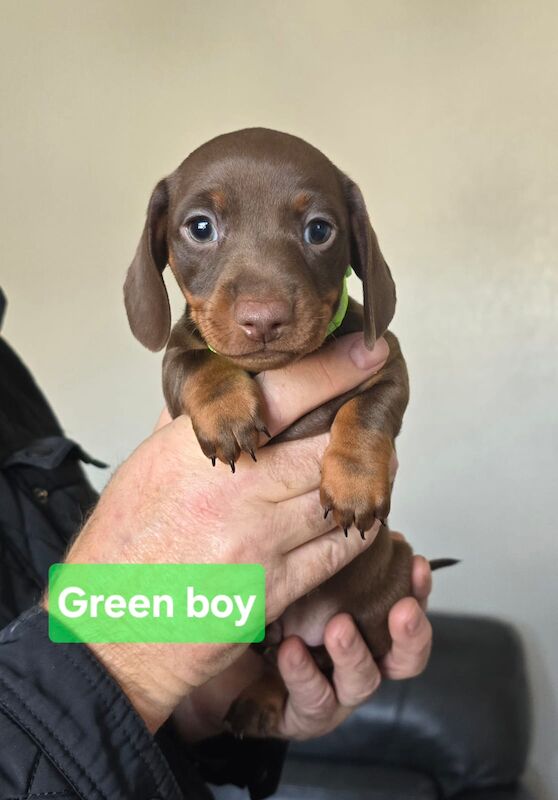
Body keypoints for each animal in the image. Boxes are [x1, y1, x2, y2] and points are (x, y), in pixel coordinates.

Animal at [124, 126, 434, 736]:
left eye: (319, 229)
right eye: (200, 227)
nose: (263, 319)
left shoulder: (387, 363)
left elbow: (366, 411)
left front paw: (355, 480)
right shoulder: (177, 364)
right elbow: (196, 364)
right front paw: (226, 410)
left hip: (384, 584)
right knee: (279, 659)